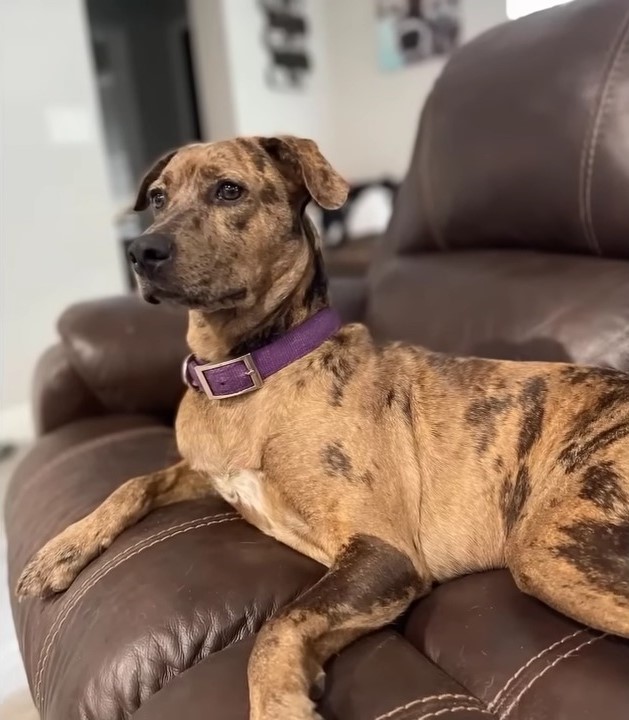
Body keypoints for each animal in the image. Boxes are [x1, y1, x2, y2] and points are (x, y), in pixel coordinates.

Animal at [15, 135, 628, 720]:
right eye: (159, 197)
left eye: (229, 191)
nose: (140, 250)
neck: (251, 371)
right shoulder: (206, 475)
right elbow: (135, 482)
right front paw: (59, 552)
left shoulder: (382, 554)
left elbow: (279, 624)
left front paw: (279, 705)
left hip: (550, 549)